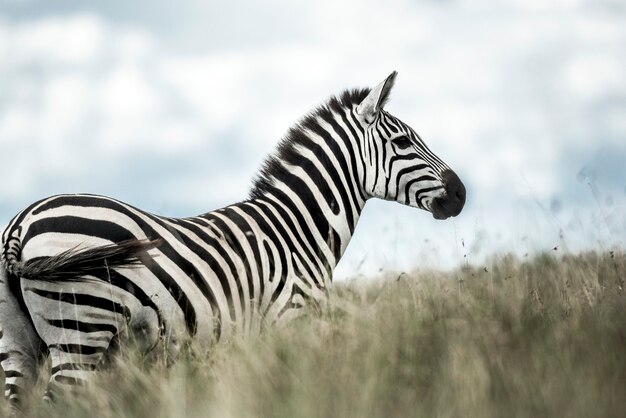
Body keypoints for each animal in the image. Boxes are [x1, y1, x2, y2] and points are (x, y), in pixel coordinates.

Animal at [0, 72, 464, 404]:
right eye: (402, 141)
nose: (461, 193)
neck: (297, 230)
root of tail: (21, 223)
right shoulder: (292, 322)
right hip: (81, 333)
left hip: (21, 346)